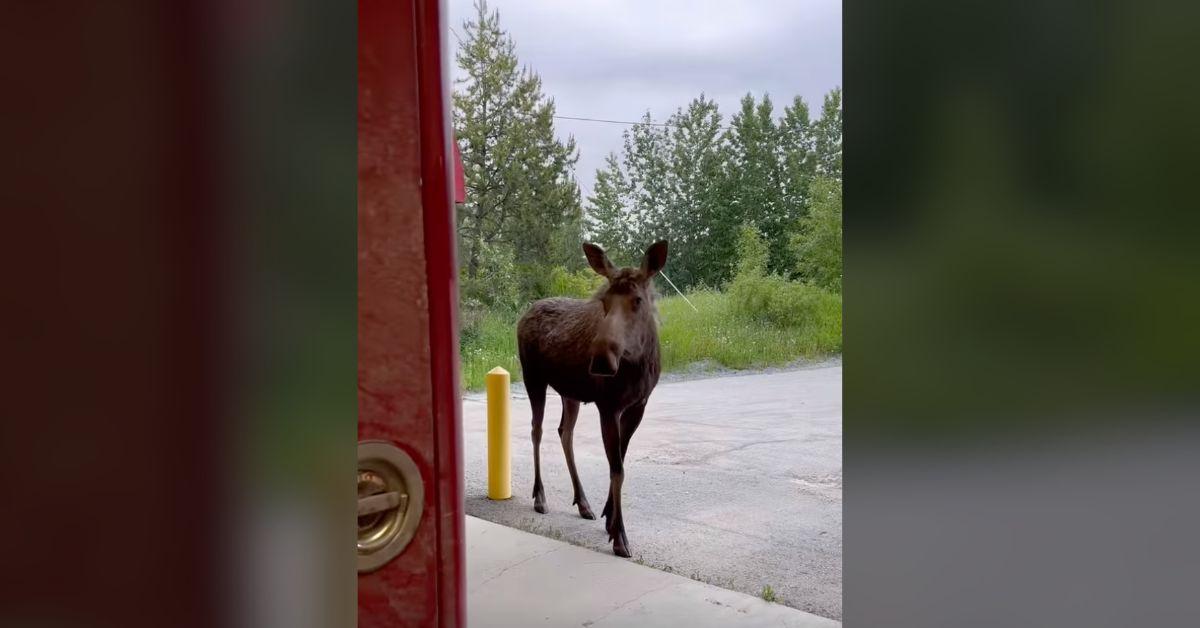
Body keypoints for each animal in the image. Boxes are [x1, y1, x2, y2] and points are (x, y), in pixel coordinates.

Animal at [516, 240, 669, 558]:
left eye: (637, 300)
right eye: (604, 301)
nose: (600, 360)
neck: (638, 367)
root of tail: (525, 312)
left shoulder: (638, 406)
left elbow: (620, 461)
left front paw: (609, 518)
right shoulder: (608, 405)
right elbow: (617, 468)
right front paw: (620, 536)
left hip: (569, 392)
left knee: (565, 432)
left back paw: (583, 502)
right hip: (532, 378)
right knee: (537, 430)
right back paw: (540, 497)